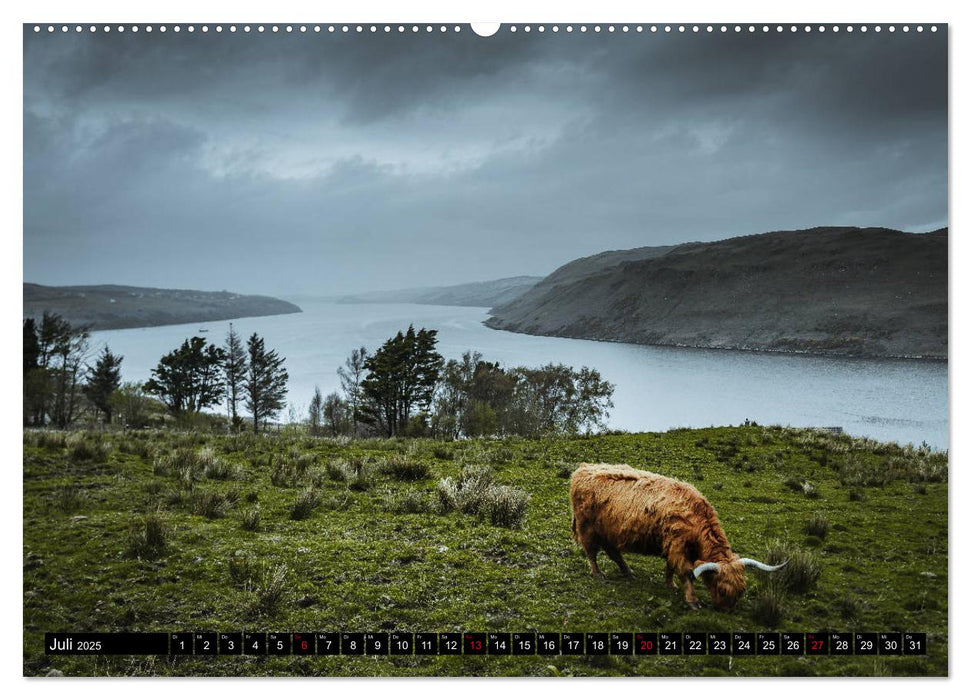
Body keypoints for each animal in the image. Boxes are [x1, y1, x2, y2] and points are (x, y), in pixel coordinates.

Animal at [572, 468, 784, 608]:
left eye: (741, 590)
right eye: (722, 589)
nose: (726, 610)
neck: (696, 517)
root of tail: (583, 469)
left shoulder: (672, 545)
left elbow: (670, 567)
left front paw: (670, 585)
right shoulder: (678, 546)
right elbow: (685, 572)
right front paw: (692, 600)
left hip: (607, 531)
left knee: (613, 552)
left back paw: (628, 571)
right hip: (587, 528)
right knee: (591, 552)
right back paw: (598, 574)